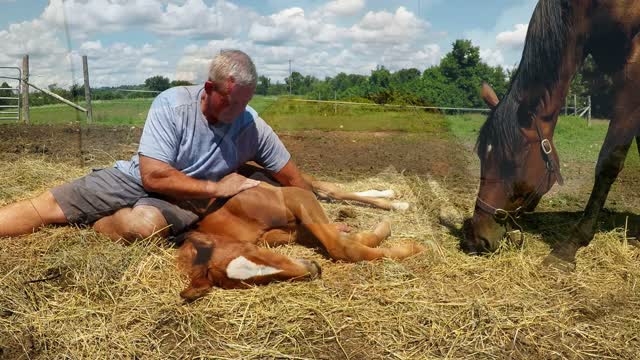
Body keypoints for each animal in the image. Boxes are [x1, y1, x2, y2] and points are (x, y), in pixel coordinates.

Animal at [178, 167, 422, 300]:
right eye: (250, 283)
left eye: (252, 251)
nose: (313, 269)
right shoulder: (293, 229)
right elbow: (341, 239)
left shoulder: (294, 197)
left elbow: (340, 247)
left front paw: (414, 246)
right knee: (327, 193)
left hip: (295, 182)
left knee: (330, 189)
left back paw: (394, 201)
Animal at [462, 0, 640, 270]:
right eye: (482, 156)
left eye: (510, 163)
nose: (477, 238)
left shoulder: (633, 79)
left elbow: (608, 163)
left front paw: (569, 247)